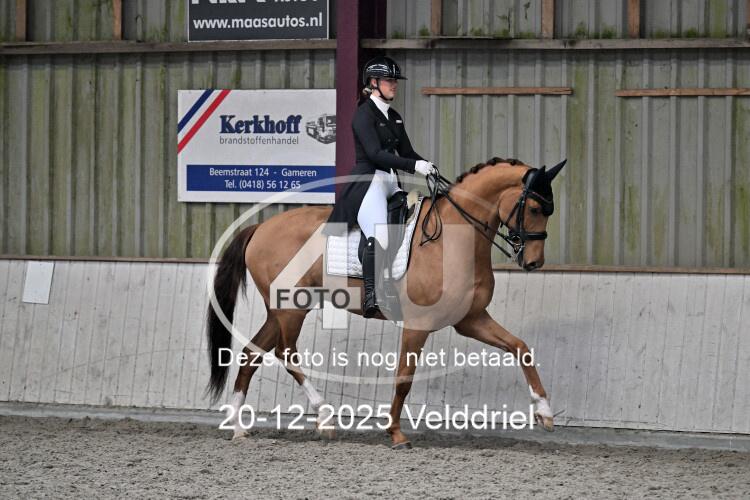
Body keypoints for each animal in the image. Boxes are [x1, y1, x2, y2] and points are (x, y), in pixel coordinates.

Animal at [206, 157, 566, 449]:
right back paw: (324, 416)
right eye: (535, 209)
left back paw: (238, 428)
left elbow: (521, 347)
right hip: (291, 308)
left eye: (549, 211)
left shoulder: (471, 320)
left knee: (251, 354)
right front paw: (395, 433)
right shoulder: (418, 325)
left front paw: (545, 412)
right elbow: (404, 377)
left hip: (281, 310)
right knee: (285, 352)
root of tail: (260, 227)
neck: (455, 238)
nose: (534, 262)